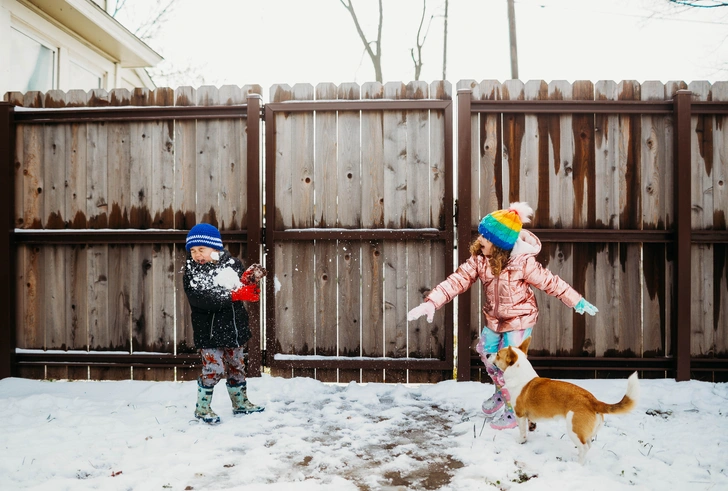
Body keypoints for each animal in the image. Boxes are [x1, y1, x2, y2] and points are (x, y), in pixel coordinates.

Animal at [490, 338, 636, 466]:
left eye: (497, 354)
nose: (487, 354)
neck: (521, 376)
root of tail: (593, 401)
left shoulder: (520, 415)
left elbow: (522, 431)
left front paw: (521, 441)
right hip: (585, 433)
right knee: (588, 445)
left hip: (573, 430)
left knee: (584, 448)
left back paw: (578, 465)